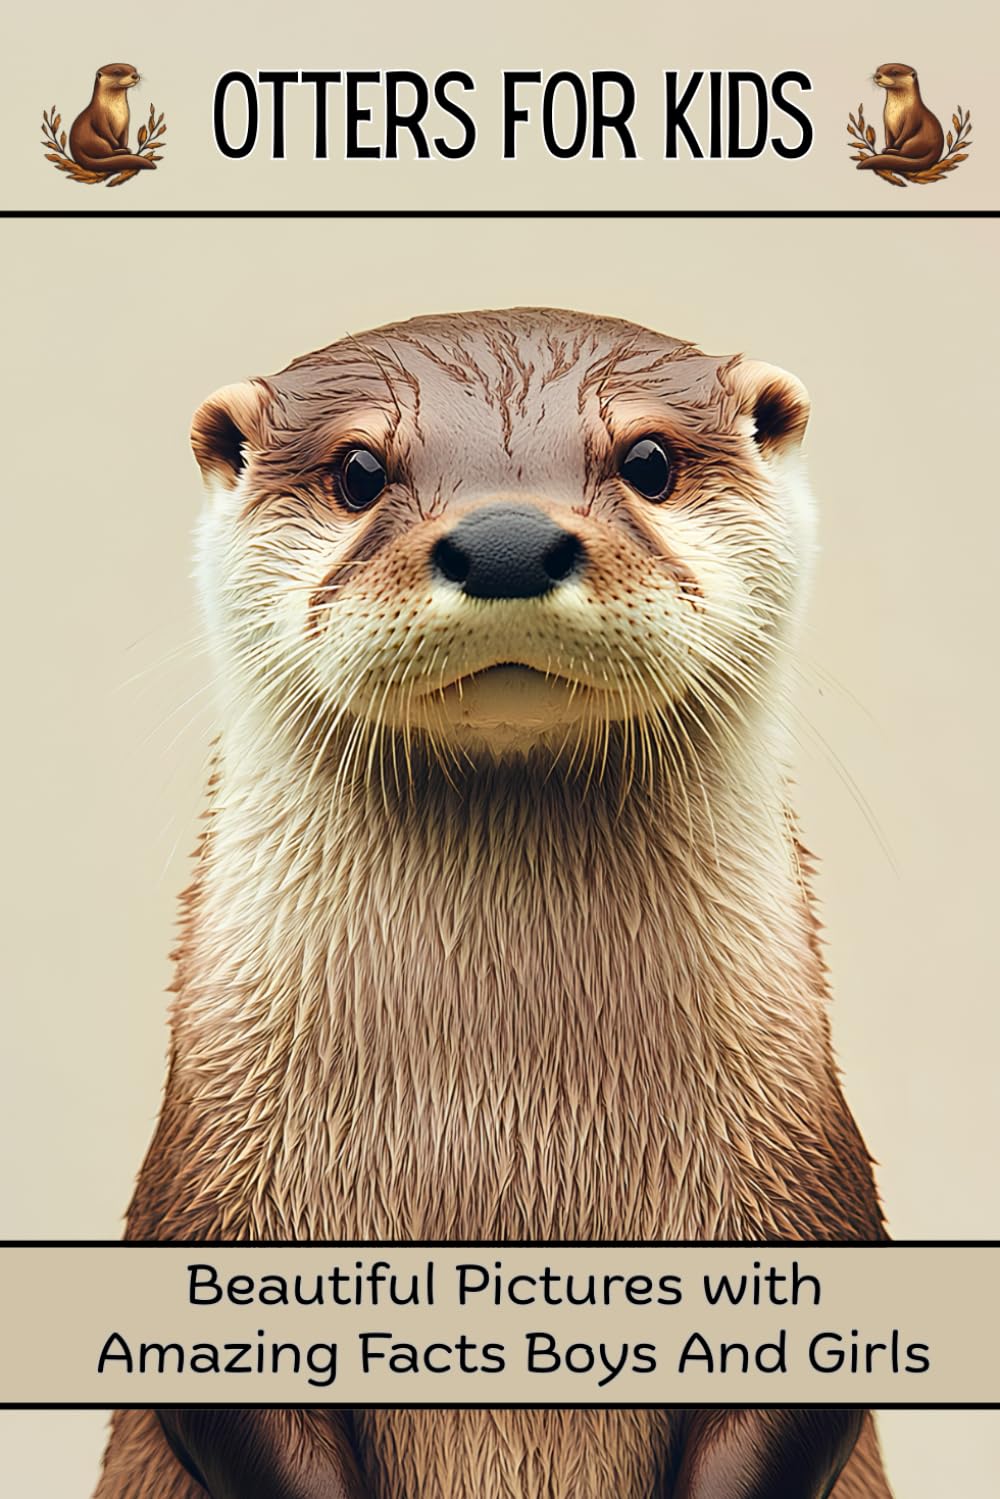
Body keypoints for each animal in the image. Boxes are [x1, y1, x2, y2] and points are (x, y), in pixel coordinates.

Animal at [94, 309, 893, 1499]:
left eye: (648, 460)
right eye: (358, 469)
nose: (509, 541)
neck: (502, 1116)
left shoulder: (806, 1184)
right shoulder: (209, 1188)